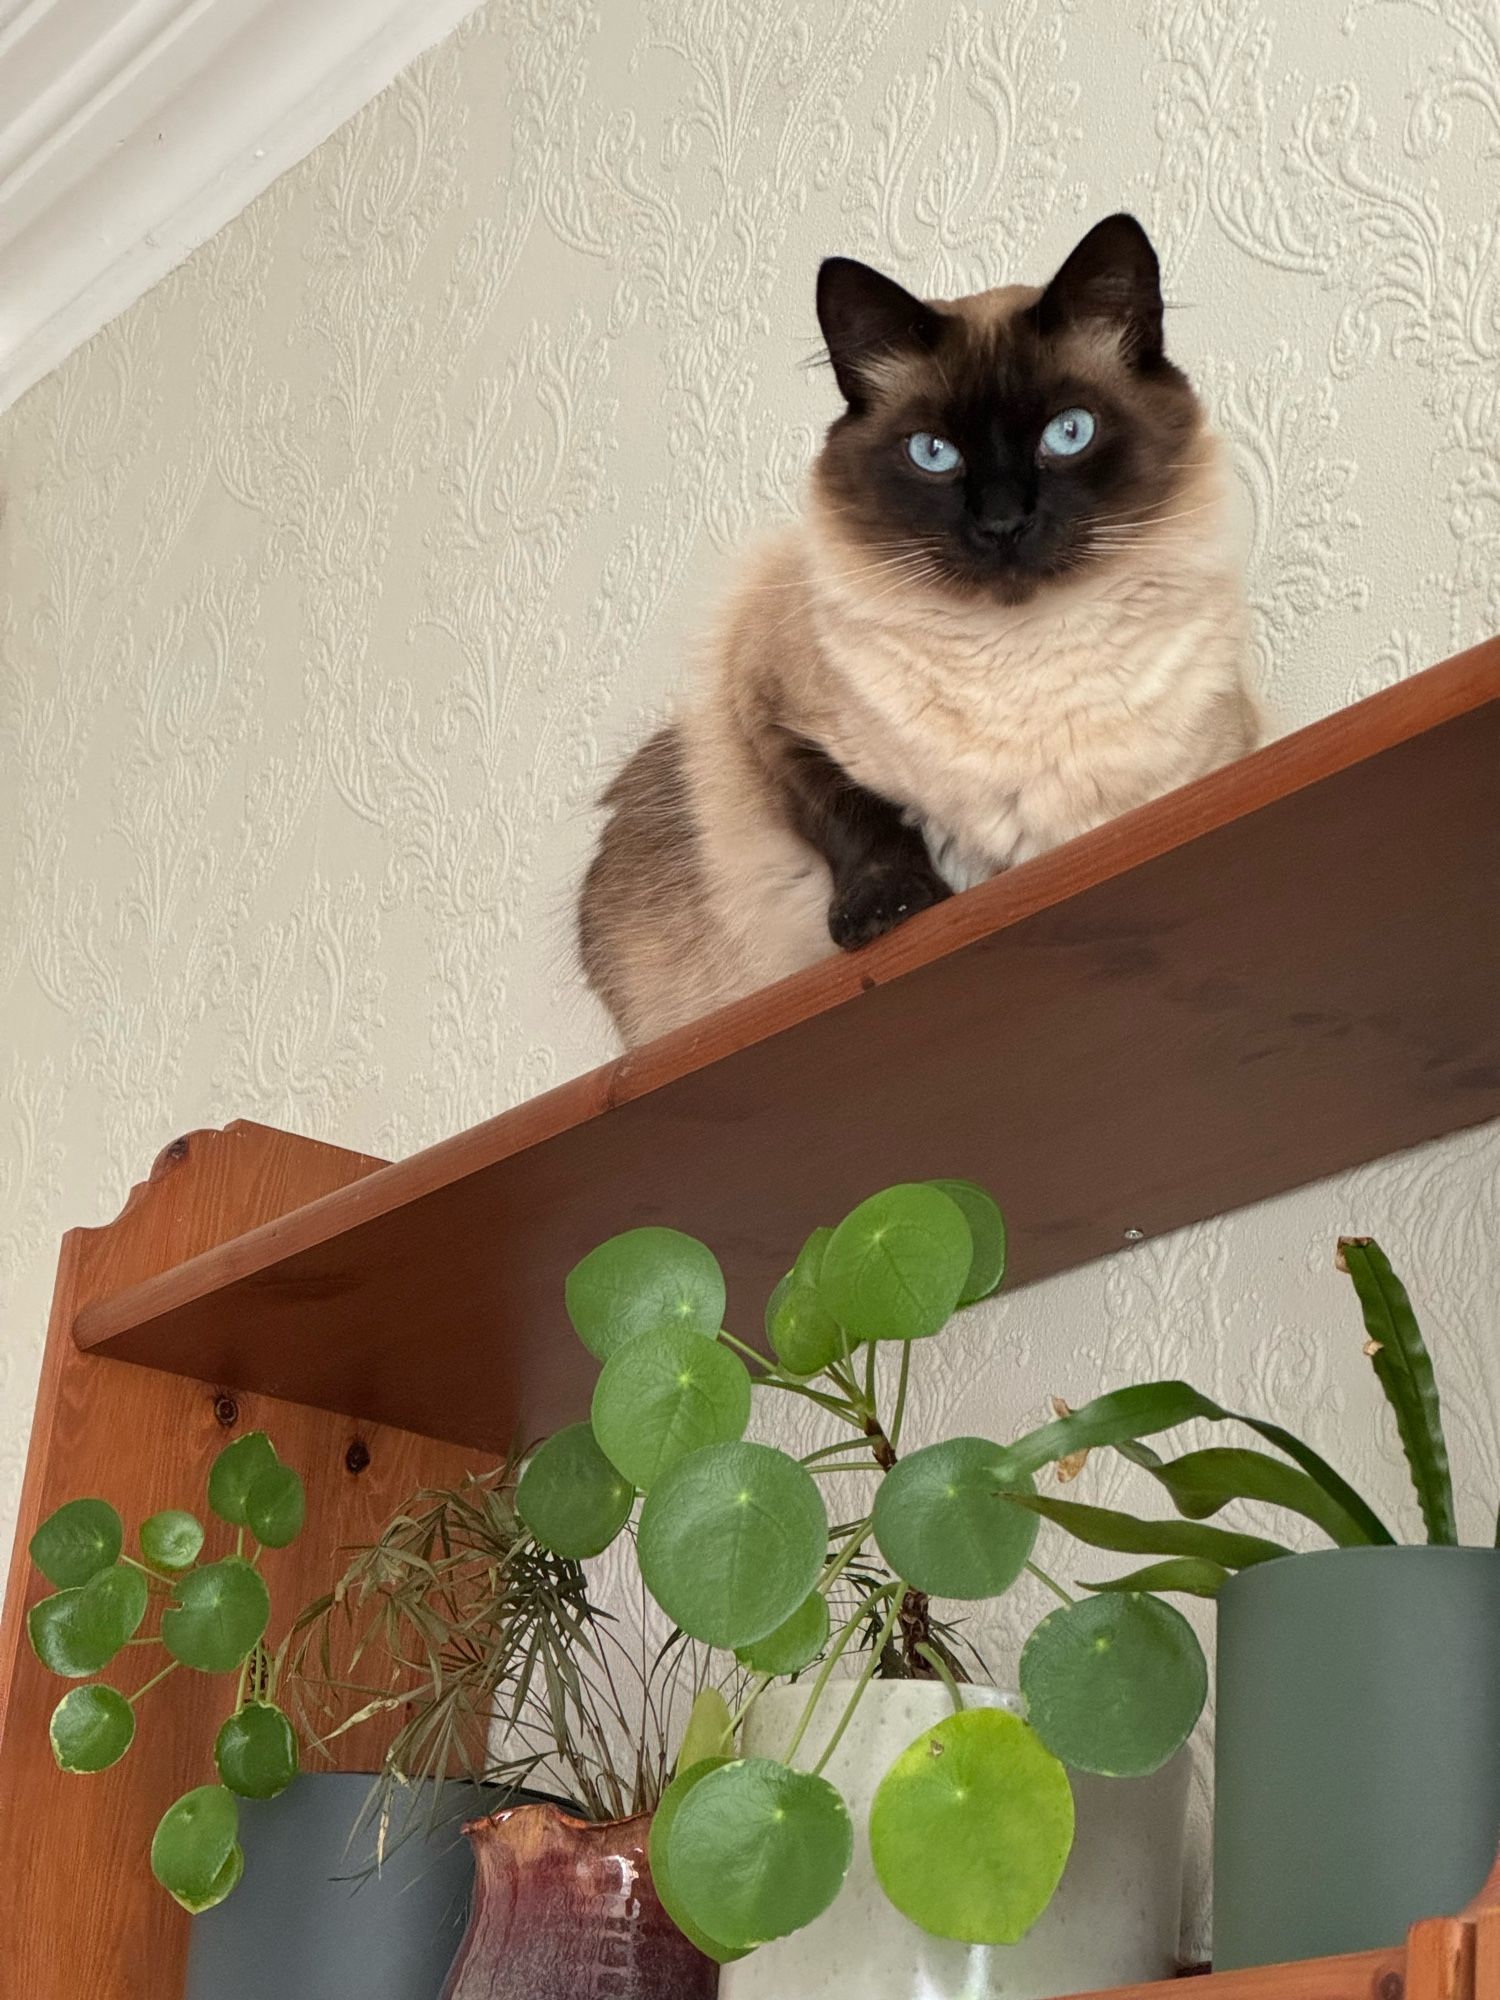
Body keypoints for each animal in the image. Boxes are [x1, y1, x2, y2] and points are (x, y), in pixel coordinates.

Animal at [580, 221, 1264, 1056]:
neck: (1020, 659)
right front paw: (891, 912)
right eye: (932, 454)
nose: (1002, 523)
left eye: (1068, 434)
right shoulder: (766, 712)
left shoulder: (1185, 781)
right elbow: (859, 823)